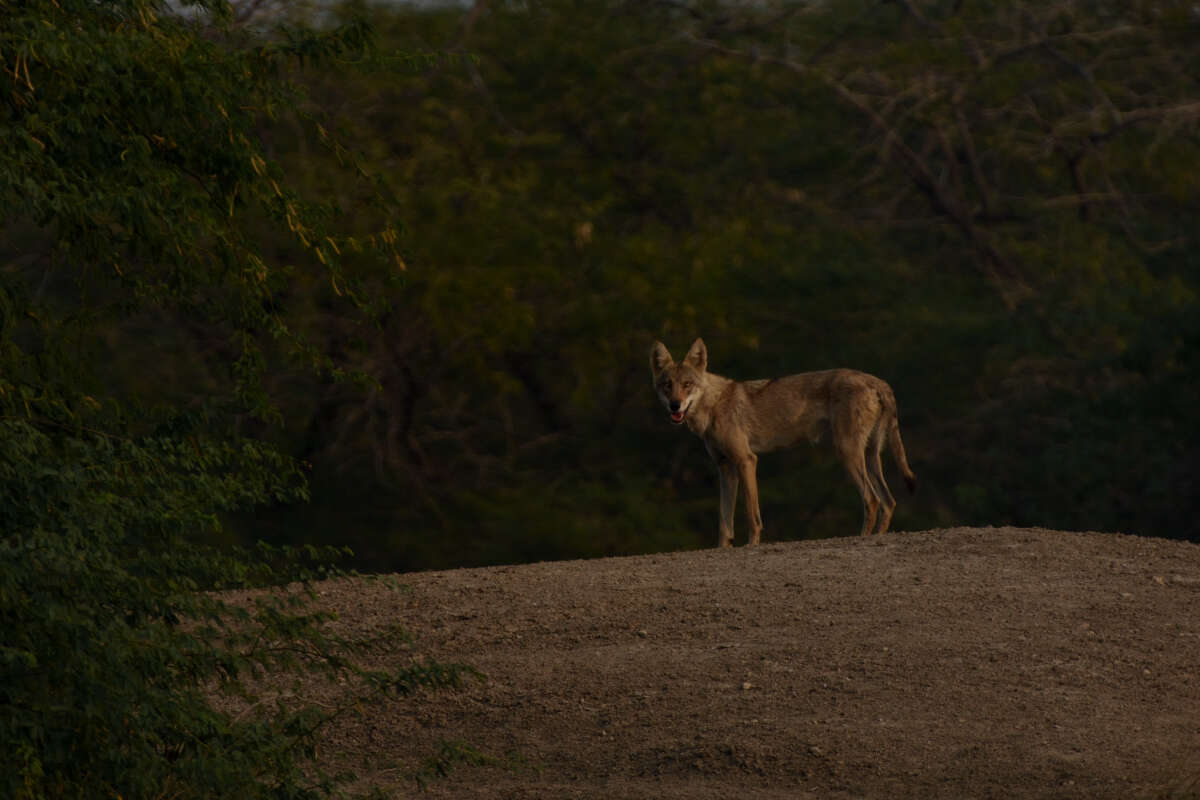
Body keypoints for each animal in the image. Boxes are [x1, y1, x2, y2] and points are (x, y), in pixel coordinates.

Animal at [648, 338, 916, 551]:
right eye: (667, 385)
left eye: (687, 385)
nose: (675, 405)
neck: (714, 405)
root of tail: (878, 381)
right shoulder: (725, 468)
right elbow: (724, 522)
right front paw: (723, 549)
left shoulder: (746, 460)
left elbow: (752, 514)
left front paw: (751, 545)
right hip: (869, 456)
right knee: (888, 502)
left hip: (848, 453)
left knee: (872, 500)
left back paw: (860, 539)